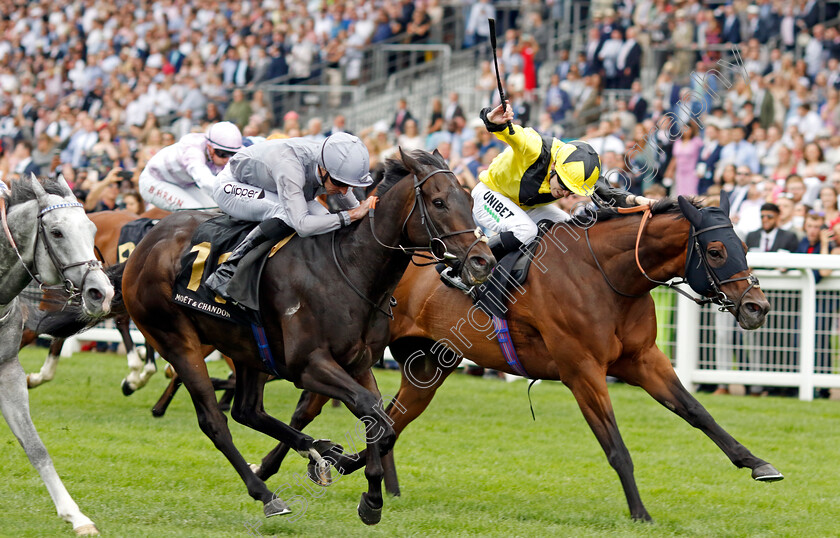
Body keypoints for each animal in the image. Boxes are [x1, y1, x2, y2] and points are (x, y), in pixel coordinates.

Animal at [0, 175, 114, 532]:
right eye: (56, 232)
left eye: (92, 229)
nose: (101, 292)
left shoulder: (8, 371)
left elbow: (36, 447)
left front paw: (76, 516)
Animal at [121, 149, 496, 520]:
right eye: (438, 202)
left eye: (468, 199)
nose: (484, 261)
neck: (351, 269)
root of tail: (147, 242)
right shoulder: (308, 365)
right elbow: (370, 409)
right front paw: (368, 491)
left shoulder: (358, 363)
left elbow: (380, 420)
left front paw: (368, 491)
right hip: (176, 339)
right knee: (214, 420)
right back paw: (267, 493)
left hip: (246, 348)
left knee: (247, 410)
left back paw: (317, 449)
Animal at [249, 193, 780, 520]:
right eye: (716, 250)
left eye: (744, 244)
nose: (758, 306)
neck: (608, 276)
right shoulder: (582, 370)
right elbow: (616, 446)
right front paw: (640, 512)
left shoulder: (643, 359)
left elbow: (697, 412)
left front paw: (756, 463)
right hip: (353, 349)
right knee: (311, 405)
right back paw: (278, 468)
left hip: (427, 367)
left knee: (389, 419)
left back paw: (354, 467)